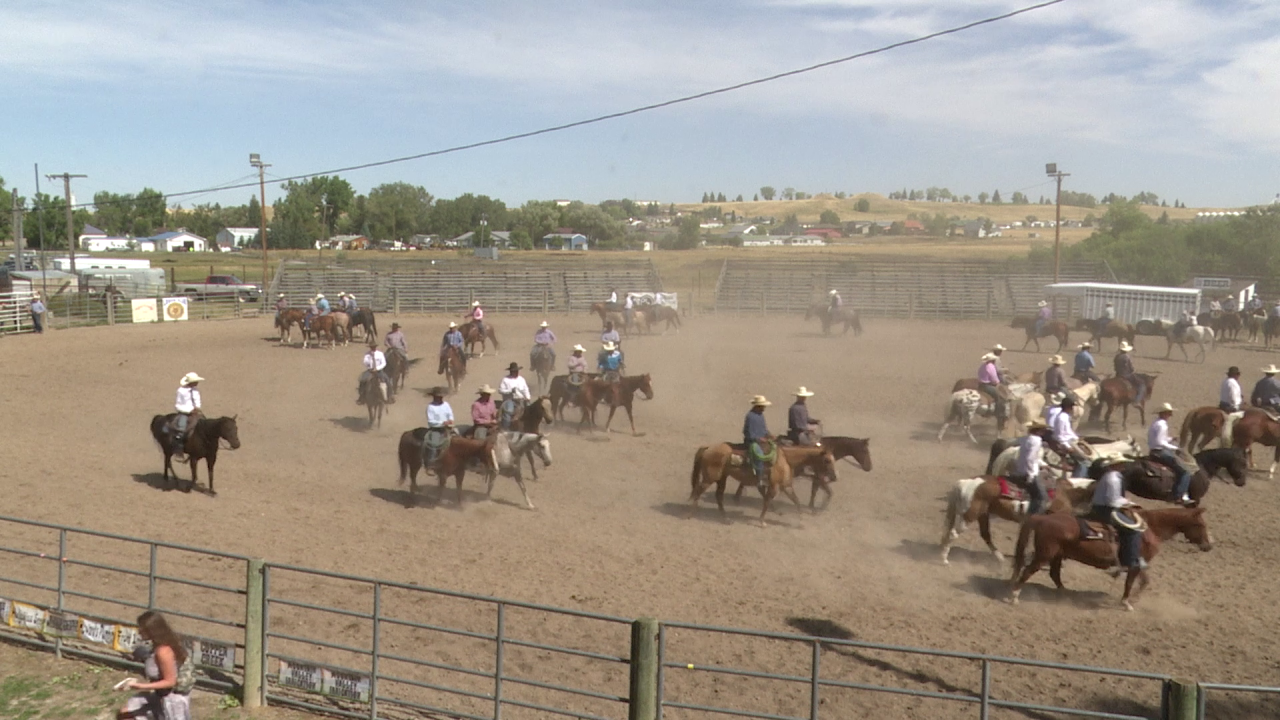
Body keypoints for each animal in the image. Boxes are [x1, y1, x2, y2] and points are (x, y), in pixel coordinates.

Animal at [936, 474, 1095, 563]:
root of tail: (964, 482)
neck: (1066, 493)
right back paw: (943, 559)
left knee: (985, 534)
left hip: (983, 515)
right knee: (953, 534)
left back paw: (1000, 558)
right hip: (969, 515)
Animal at [1008, 502, 1208, 607]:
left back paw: (1065, 595)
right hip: (1045, 555)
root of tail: (1043, 517)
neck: (1150, 528)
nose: (1209, 545)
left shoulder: (1139, 563)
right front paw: (1127, 602)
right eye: (1201, 524)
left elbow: (1143, 582)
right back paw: (1015, 596)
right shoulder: (1135, 564)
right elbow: (1133, 583)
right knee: (1028, 571)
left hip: (1056, 555)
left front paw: (1131, 600)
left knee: (1054, 574)